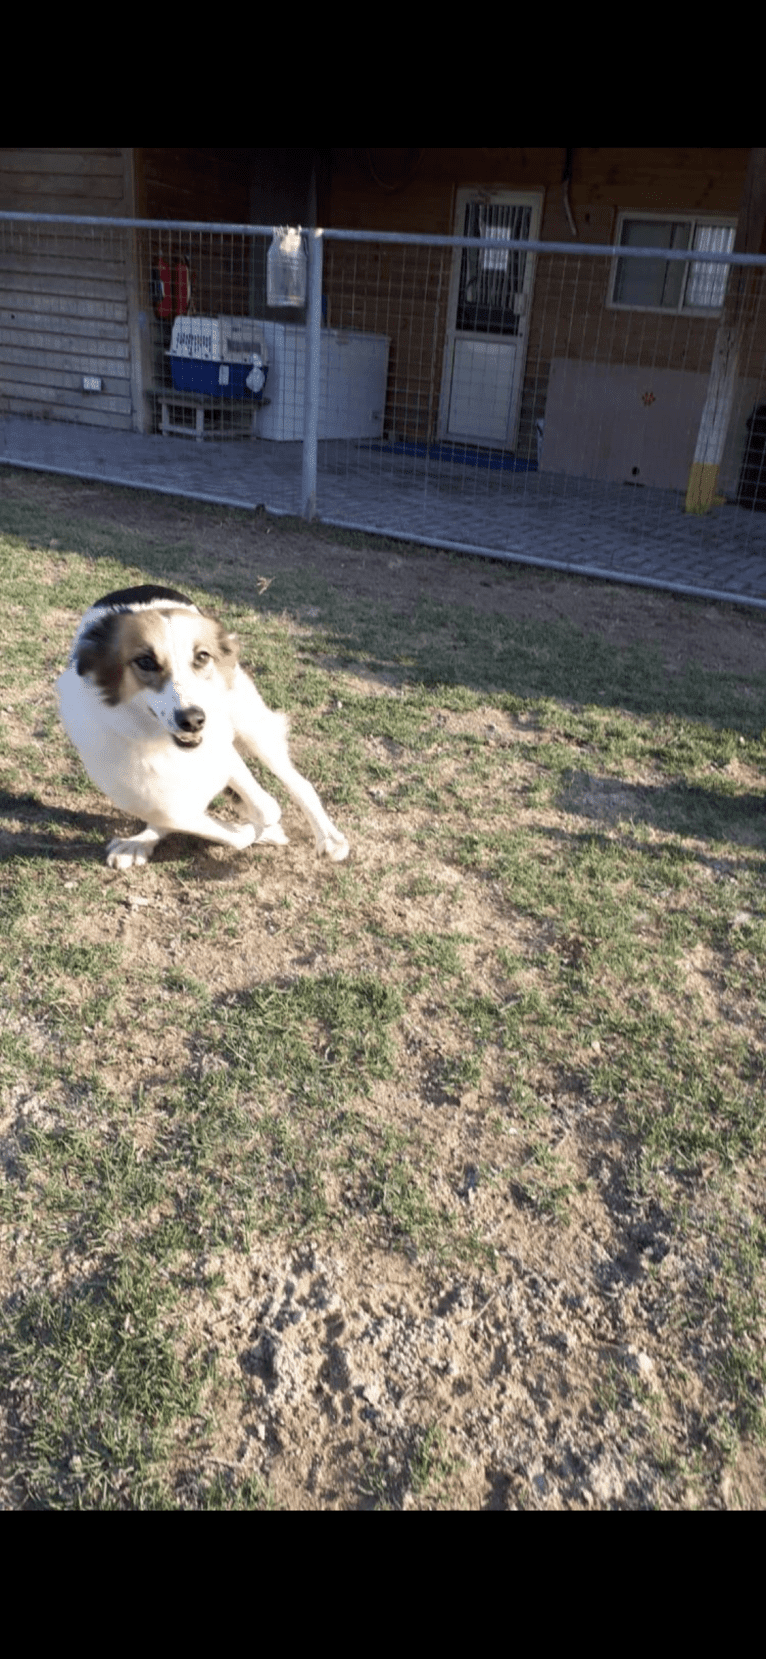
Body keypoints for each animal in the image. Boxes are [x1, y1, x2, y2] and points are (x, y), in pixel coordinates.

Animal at [55, 583, 348, 869]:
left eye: (202, 657)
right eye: (145, 661)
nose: (193, 720)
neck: (158, 741)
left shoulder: (219, 744)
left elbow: (265, 807)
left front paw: (264, 825)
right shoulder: (139, 792)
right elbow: (202, 824)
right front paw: (256, 831)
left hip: (249, 724)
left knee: (298, 784)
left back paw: (329, 838)